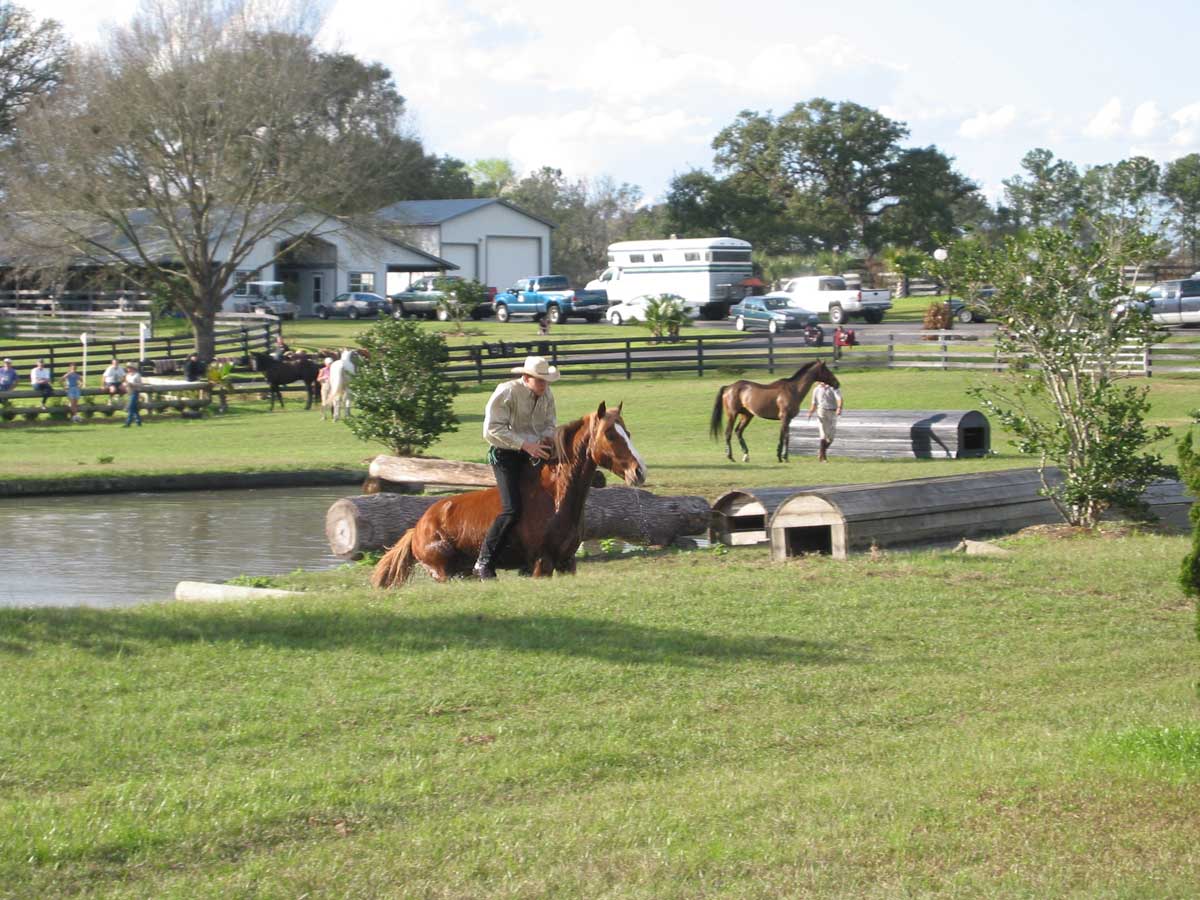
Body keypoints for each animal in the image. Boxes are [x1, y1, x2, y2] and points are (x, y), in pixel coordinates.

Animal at [372, 400, 648, 585]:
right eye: (609, 434)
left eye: (627, 433)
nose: (639, 471)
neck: (556, 498)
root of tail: (418, 528)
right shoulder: (541, 563)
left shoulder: (567, 562)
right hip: (443, 572)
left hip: (462, 572)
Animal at [705, 360, 840, 465]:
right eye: (827, 371)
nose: (837, 383)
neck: (793, 390)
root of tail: (729, 387)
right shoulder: (785, 417)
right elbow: (786, 437)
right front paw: (785, 457)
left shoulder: (786, 420)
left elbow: (782, 436)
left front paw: (779, 456)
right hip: (732, 415)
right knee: (728, 433)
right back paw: (730, 456)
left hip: (747, 415)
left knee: (738, 431)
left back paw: (746, 455)